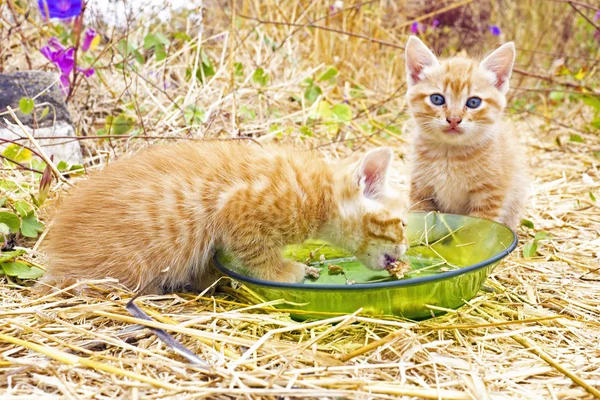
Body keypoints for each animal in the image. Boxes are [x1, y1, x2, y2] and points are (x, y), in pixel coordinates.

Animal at [36, 141, 408, 294]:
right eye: (403, 224)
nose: (405, 251)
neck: (318, 193)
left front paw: (209, 279)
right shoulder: (240, 208)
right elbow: (259, 253)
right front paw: (284, 271)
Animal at [406, 36, 528, 230]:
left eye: (473, 102)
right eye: (437, 99)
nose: (454, 119)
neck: (449, 156)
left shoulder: (489, 196)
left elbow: (478, 228)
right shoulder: (421, 189)